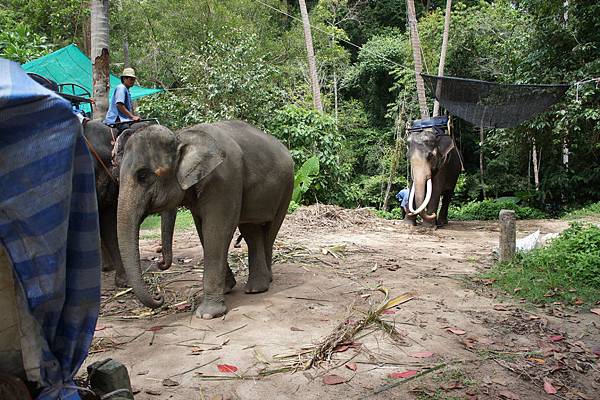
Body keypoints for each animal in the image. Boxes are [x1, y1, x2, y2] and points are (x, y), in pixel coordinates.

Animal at [116, 119, 294, 318]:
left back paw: (262, 284)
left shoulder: (224, 179)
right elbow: (202, 228)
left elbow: (216, 229)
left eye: (143, 176)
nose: (158, 296)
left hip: (287, 186)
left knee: (270, 231)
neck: (181, 136)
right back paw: (257, 287)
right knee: (251, 230)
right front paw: (227, 289)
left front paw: (207, 314)